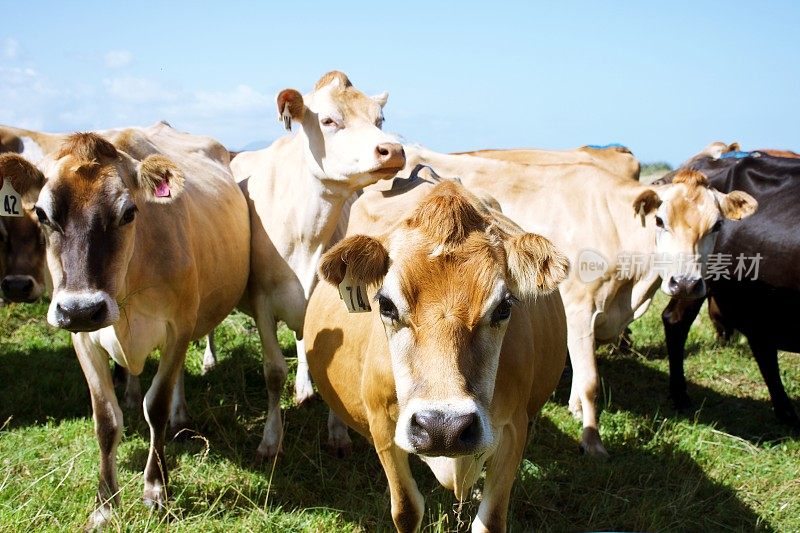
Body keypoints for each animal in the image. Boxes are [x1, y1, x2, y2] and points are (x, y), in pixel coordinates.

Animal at [0, 122, 250, 524]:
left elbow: (157, 407)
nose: (82, 309)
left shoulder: (178, 327)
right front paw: (104, 504)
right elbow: (106, 419)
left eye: (129, 212)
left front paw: (156, 489)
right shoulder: (83, 339)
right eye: (42, 214)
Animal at [228, 69, 410, 458]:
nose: (392, 149)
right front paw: (270, 440)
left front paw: (338, 433)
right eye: (328, 120)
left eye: (380, 119)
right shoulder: (262, 302)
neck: (305, 233)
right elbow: (273, 372)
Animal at [304, 172, 568, 528]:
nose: (443, 427)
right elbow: (407, 508)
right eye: (386, 305)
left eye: (503, 308)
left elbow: (490, 519)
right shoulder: (383, 426)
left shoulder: (514, 428)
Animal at [384, 147, 760, 458]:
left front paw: (576, 408)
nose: (685, 283)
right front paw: (592, 440)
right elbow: (591, 380)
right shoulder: (579, 308)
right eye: (660, 220)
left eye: (717, 225)